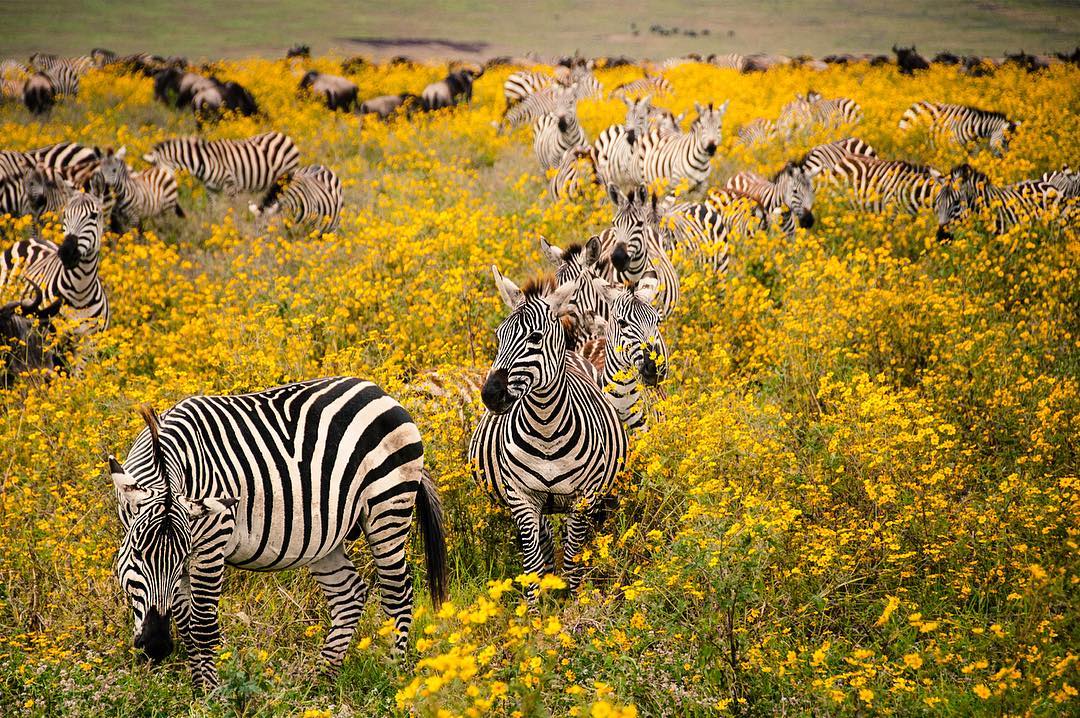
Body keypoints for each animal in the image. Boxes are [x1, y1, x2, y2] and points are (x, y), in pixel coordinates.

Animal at [109, 377, 448, 689]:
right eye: (137, 554)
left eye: (182, 558)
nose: (157, 646)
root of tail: (378, 390)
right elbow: (185, 623)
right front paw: (198, 687)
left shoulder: (211, 542)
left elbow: (202, 626)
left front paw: (211, 696)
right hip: (325, 537)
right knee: (348, 594)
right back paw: (321, 680)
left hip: (388, 506)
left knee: (397, 593)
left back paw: (394, 675)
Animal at [143, 132, 300, 205]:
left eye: (160, 175)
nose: (157, 195)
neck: (205, 161)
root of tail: (284, 135)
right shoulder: (211, 189)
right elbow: (213, 210)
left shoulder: (231, 186)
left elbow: (230, 210)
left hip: (286, 178)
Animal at [469, 268, 627, 602]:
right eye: (498, 336)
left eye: (535, 338)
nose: (490, 395)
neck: (546, 429)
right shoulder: (521, 497)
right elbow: (532, 564)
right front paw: (535, 610)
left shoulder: (583, 497)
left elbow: (572, 562)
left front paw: (573, 605)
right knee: (545, 541)